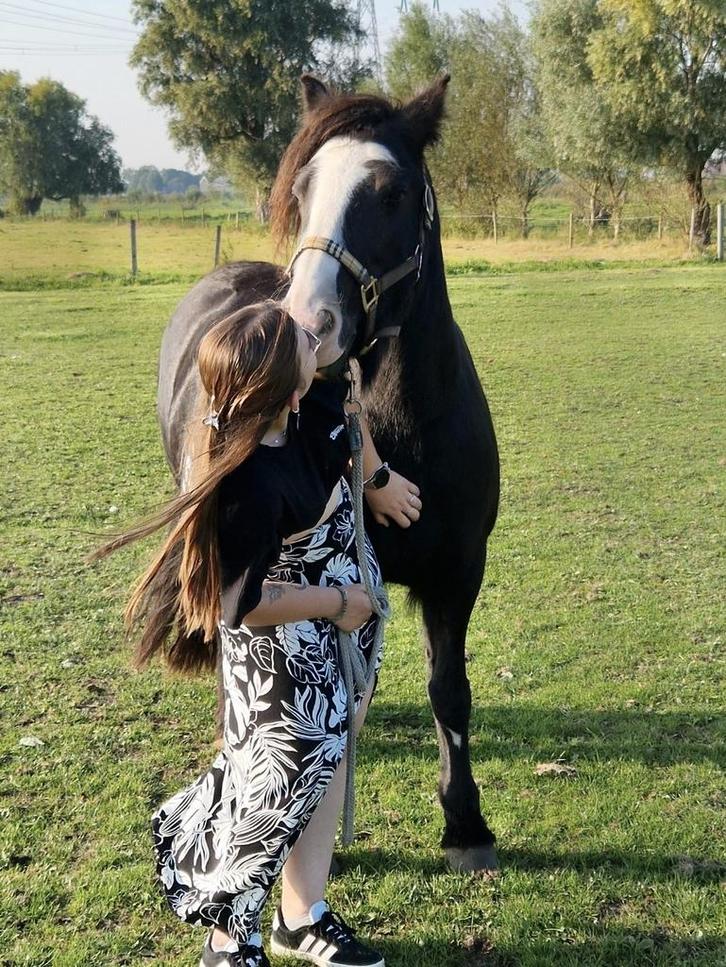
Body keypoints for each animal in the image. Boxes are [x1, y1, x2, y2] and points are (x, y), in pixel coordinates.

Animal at [156, 75, 500, 874]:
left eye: (392, 192)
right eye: (305, 186)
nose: (308, 323)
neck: (404, 427)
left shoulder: (456, 573)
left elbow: (449, 689)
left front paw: (465, 823)